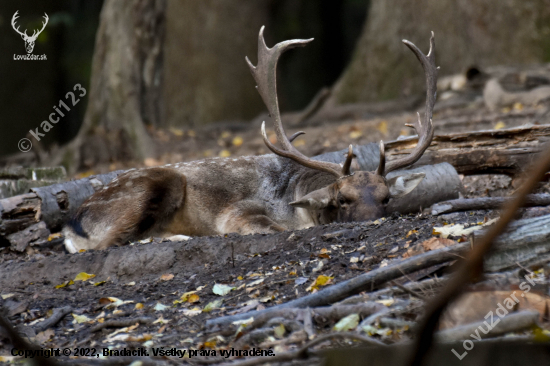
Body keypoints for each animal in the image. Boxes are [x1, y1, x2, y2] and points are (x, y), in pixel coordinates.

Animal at [62, 27, 440, 253]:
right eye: (342, 199)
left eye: (387, 197)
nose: (373, 219)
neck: (300, 199)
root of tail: (72, 224)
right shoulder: (238, 211)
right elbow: (268, 227)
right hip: (151, 186)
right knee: (111, 243)